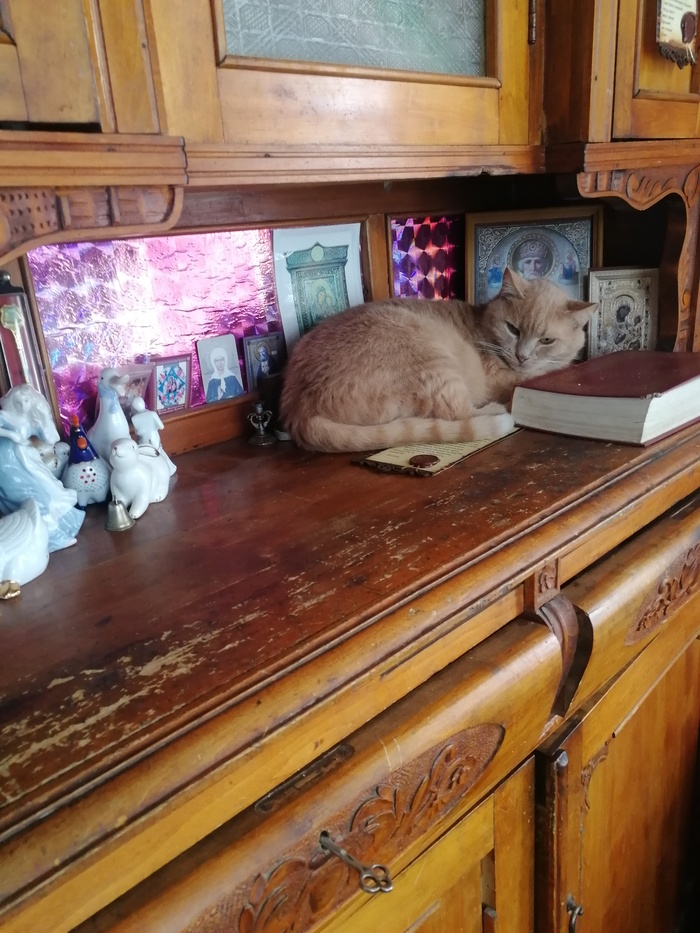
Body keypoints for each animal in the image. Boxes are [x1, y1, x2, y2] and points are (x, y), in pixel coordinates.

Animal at [280, 268, 596, 453]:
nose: (522, 355)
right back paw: (499, 411)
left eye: (546, 340)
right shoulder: (505, 378)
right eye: (513, 329)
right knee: (457, 412)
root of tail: (299, 410)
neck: (483, 329)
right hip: (434, 366)